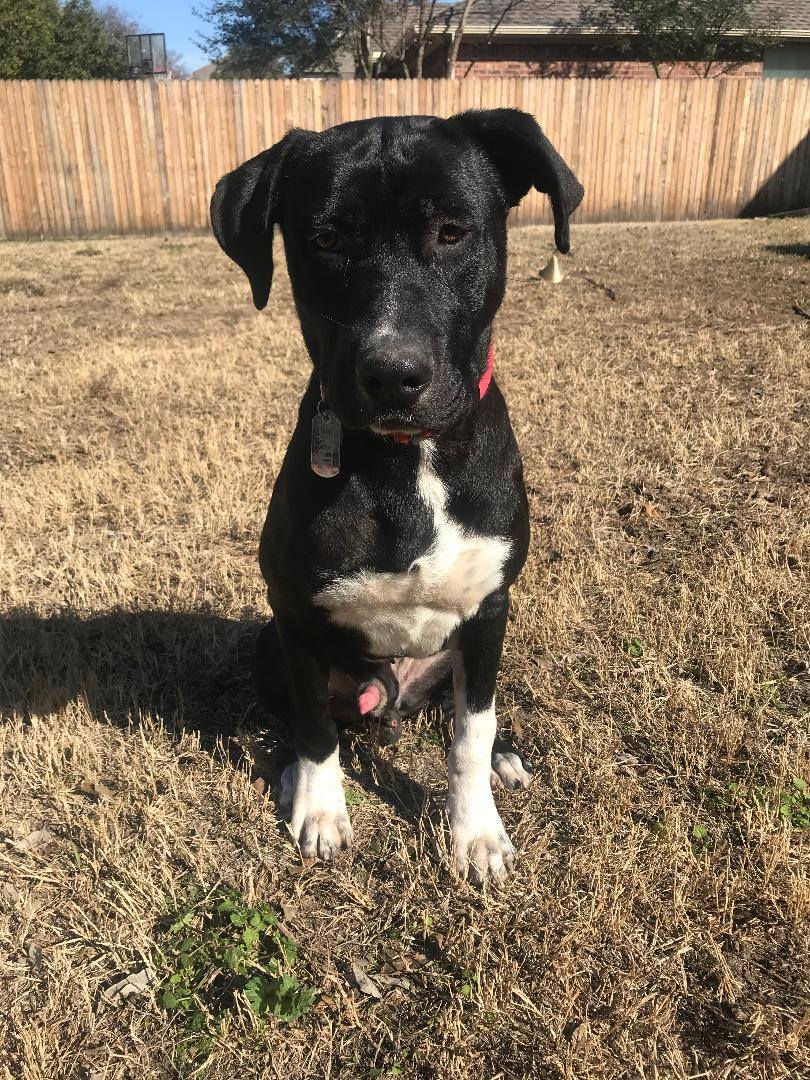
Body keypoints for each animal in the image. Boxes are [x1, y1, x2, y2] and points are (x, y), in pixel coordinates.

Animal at [212, 107, 587, 885]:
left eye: (452, 231)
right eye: (325, 239)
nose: (394, 374)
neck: (408, 459)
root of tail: (389, 698)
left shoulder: (490, 611)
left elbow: (471, 732)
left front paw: (475, 832)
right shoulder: (294, 614)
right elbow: (313, 725)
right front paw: (321, 808)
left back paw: (506, 755)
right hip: (269, 640)